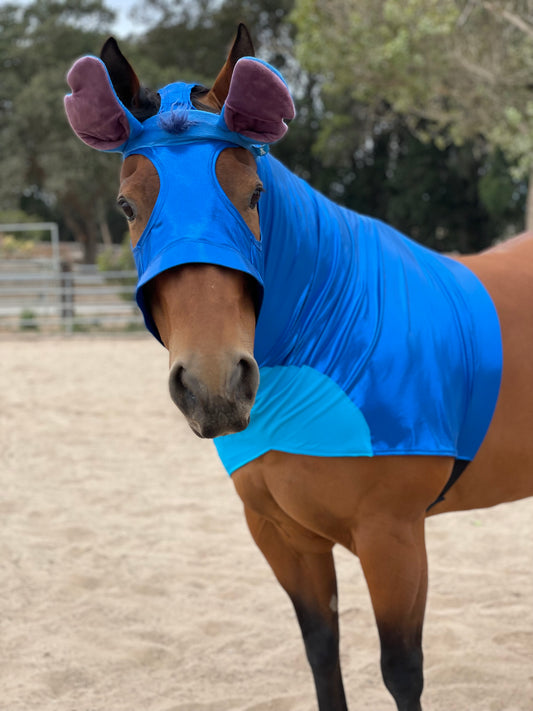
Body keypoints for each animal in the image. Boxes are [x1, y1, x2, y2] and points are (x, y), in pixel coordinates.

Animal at [64, 25, 533, 711]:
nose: (213, 385)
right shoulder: (282, 536)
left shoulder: (392, 537)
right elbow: (322, 655)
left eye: (254, 195)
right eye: (127, 207)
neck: (335, 332)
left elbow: (402, 670)